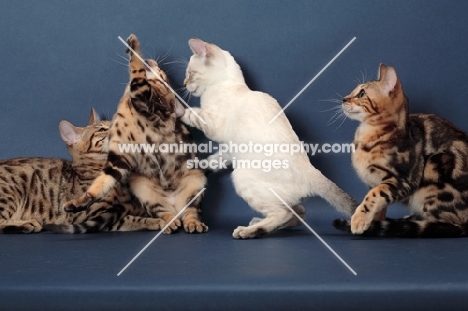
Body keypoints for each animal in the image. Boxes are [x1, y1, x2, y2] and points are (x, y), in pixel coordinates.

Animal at [63, 34, 207, 234]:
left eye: (162, 75)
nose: (155, 63)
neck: (128, 102)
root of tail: (173, 203)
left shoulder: (144, 95)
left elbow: (136, 71)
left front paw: (134, 47)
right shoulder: (119, 158)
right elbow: (101, 183)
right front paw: (79, 202)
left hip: (197, 181)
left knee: (190, 211)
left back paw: (193, 223)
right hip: (141, 188)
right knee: (165, 212)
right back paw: (170, 223)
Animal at [181, 38, 356, 239]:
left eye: (190, 73)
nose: (183, 83)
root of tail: (311, 171)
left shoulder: (212, 124)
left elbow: (191, 113)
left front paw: (174, 107)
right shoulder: (229, 151)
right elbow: (213, 161)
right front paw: (196, 165)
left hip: (242, 177)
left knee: (283, 213)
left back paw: (248, 231)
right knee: (299, 213)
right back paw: (259, 223)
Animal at [334, 64, 468, 239]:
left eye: (362, 93)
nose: (344, 99)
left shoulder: (401, 180)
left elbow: (373, 197)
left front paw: (360, 220)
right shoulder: (374, 181)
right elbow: (379, 208)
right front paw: (374, 225)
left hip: (433, 171)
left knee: (454, 224)